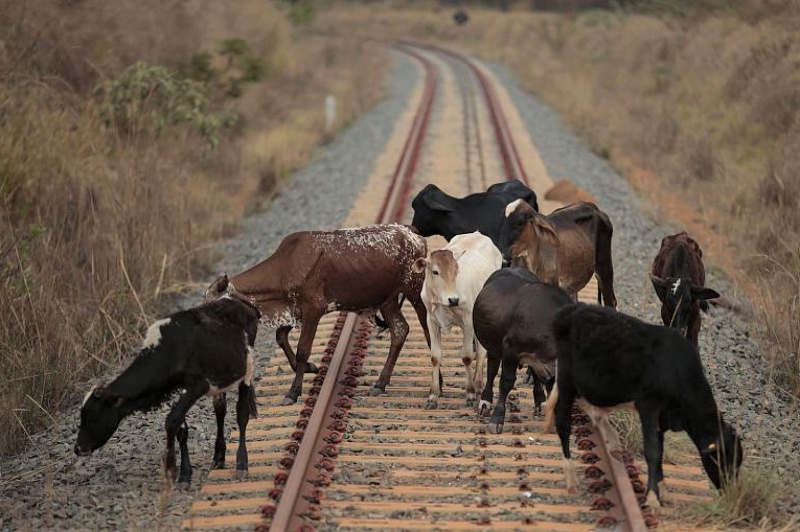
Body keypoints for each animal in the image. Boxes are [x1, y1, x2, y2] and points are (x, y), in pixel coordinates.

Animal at [75, 298, 260, 488]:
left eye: (92, 416)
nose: (78, 448)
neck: (172, 348)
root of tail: (240, 302)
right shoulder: (178, 388)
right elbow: (181, 428)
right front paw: (185, 474)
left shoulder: (198, 386)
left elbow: (171, 421)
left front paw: (171, 468)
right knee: (220, 410)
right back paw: (219, 457)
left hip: (247, 368)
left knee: (242, 414)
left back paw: (241, 464)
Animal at [206, 223, 432, 404]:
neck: (285, 267)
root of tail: (409, 231)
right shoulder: (294, 311)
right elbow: (281, 337)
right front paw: (308, 368)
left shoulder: (313, 310)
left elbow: (303, 349)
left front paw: (293, 391)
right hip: (387, 300)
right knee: (400, 330)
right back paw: (380, 383)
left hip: (415, 291)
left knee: (428, 329)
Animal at [412, 231, 500, 410]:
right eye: (435, 271)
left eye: (456, 270)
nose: (454, 299)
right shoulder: (431, 321)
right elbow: (435, 357)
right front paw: (433, 397)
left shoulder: (468, 322)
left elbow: (467, 356)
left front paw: (470, 394)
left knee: (481, 352)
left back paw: (478, 387)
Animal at [472, 268, 572, 434]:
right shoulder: (510, 349)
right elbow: (506, 382)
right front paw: (496, 420)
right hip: (493, 346)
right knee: (492, 370)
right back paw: (485, 402)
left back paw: (540, 402)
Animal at [552, 304, 744, 508]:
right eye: (724, 460)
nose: (731, 492)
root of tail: (572, 308)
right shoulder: (649, 406)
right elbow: (653, 451)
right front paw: (652, 498)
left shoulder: (663, 416)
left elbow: (660, 450)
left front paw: (663, 491)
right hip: (566, 379)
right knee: (562, 422)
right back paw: (571, 478)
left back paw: (611, 439)